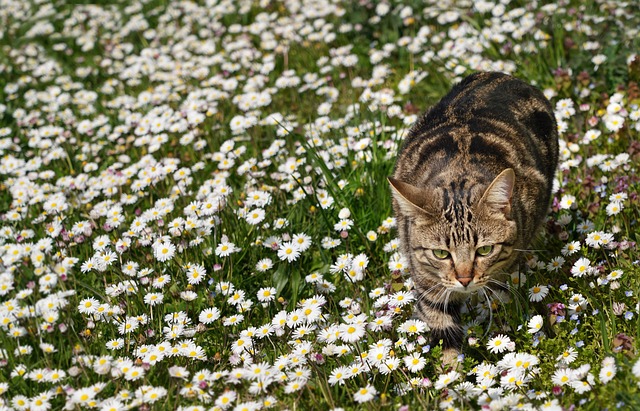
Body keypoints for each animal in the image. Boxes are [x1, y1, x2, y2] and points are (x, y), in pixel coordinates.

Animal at [388, 71, 556, 364]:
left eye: (484, 250)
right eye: (441, 253)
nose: (464, 279)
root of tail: (497, 73)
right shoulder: (427, 280)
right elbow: (443, 330)